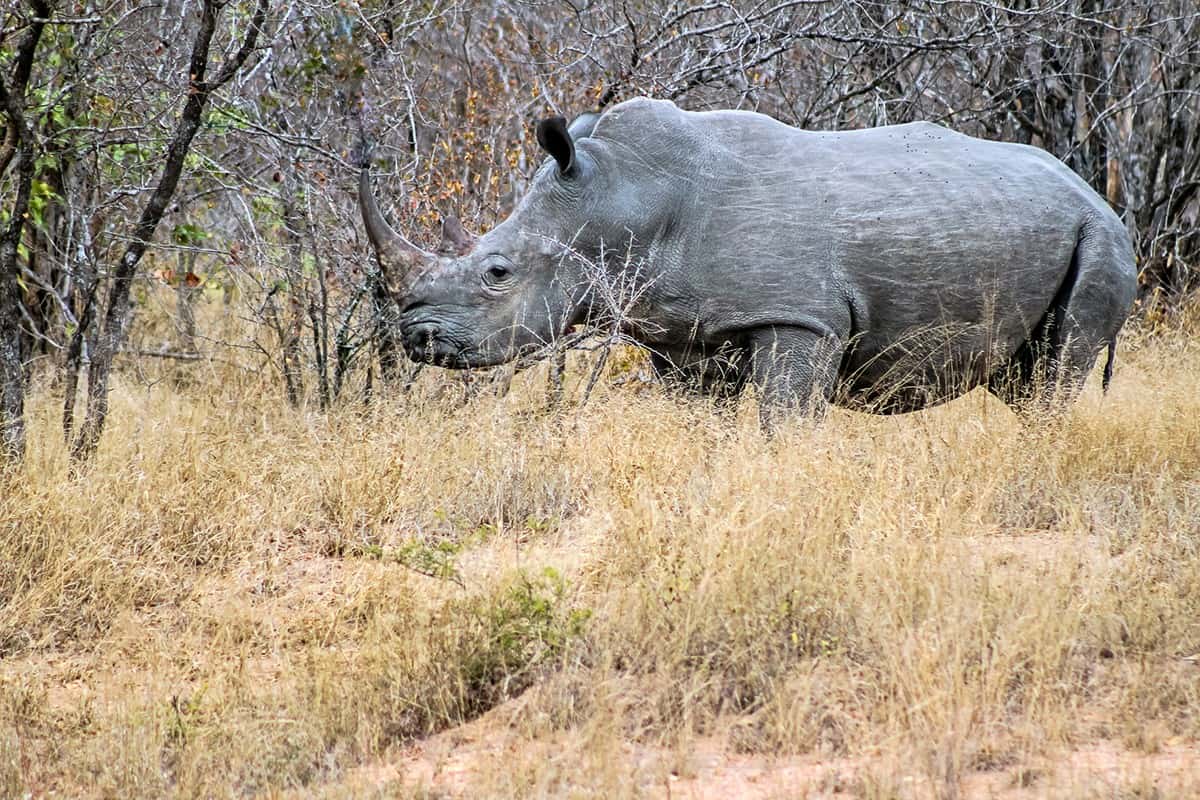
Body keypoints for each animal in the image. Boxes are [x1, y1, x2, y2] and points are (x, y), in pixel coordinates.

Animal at [355, 97, 1132, 422]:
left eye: (498, 274)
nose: (415, 339)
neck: (617, 198)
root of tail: (1096, 191)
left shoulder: (800, 318)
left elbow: (782, 420)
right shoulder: (681, 332)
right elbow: (703, 424)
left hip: (1099, 236)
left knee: (1057, 371)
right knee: (1025, 380)